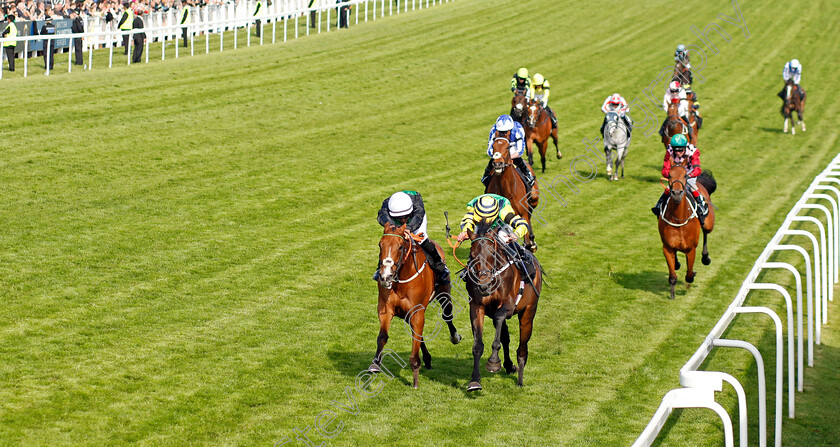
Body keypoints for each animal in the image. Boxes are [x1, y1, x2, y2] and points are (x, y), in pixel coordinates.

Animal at [372, 223, 462, 388]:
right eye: (380, 245)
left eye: (400, 246)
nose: (385, 276)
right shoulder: (386, 309)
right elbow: (382, 336)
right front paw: (375, 364)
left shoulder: (417, 312)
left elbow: (416, 340)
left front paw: (415, 378)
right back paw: (427, 358)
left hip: (444, 292)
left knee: (447, 315)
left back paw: (454, 337)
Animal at [462, 224, 540, 392]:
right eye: (472, 254)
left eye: (492, 252)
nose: (483, 285)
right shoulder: (477, 307)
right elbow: (478, 345)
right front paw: (474, 380)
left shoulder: (508, 306)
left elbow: (499, 321)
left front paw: (493, 361)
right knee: (504, 335)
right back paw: (509, 366)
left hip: (528, 313)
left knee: (522, 347)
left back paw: (520, 379)